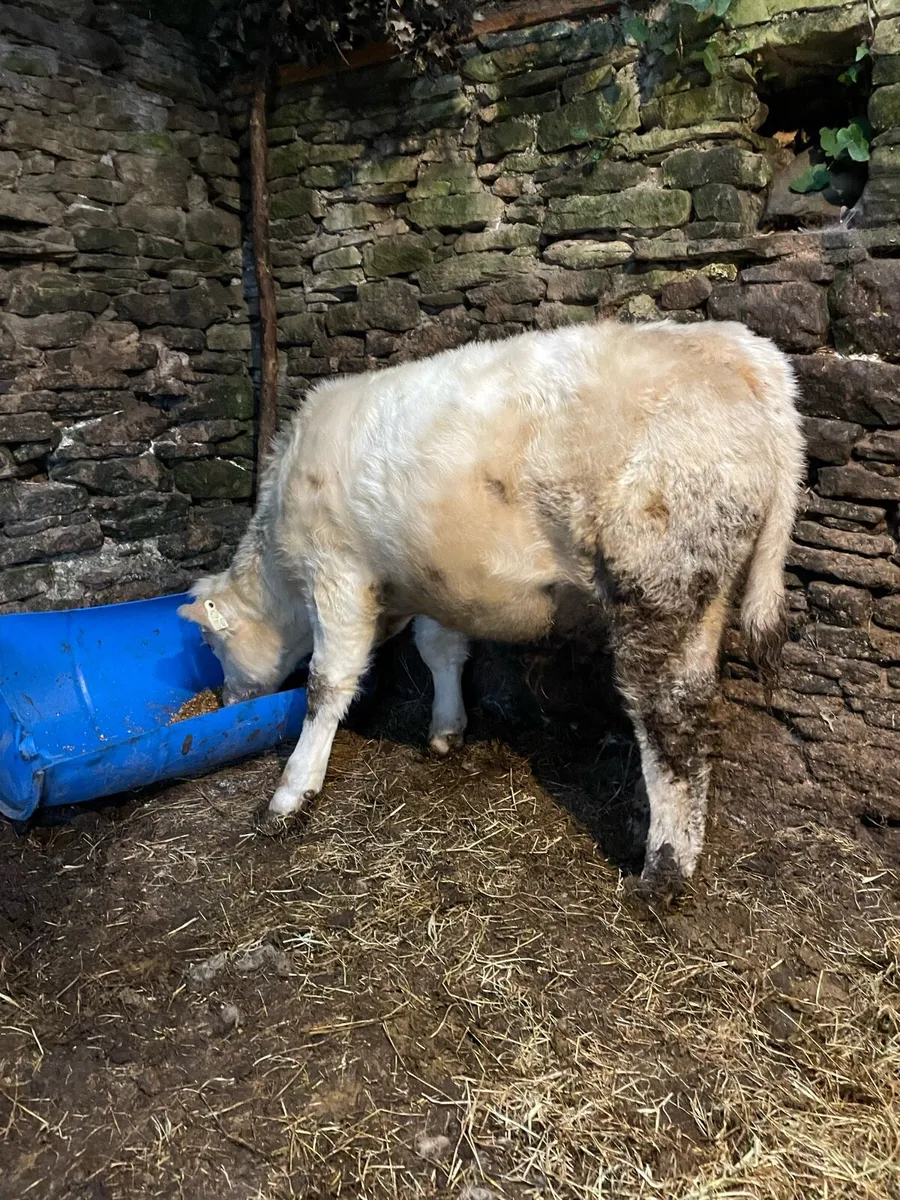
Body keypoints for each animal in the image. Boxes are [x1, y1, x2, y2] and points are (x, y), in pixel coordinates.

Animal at [179, 318, 804, 896]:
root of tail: (726, 343)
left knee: (673, 722)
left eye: (213, 643)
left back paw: (664, 871)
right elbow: (441, 651)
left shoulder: (337, 571)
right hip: (703, 593)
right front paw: (446, 729)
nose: (224, 700)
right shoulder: (430, 581)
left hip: (663, 584)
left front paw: (291, 793)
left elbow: (326, 684)